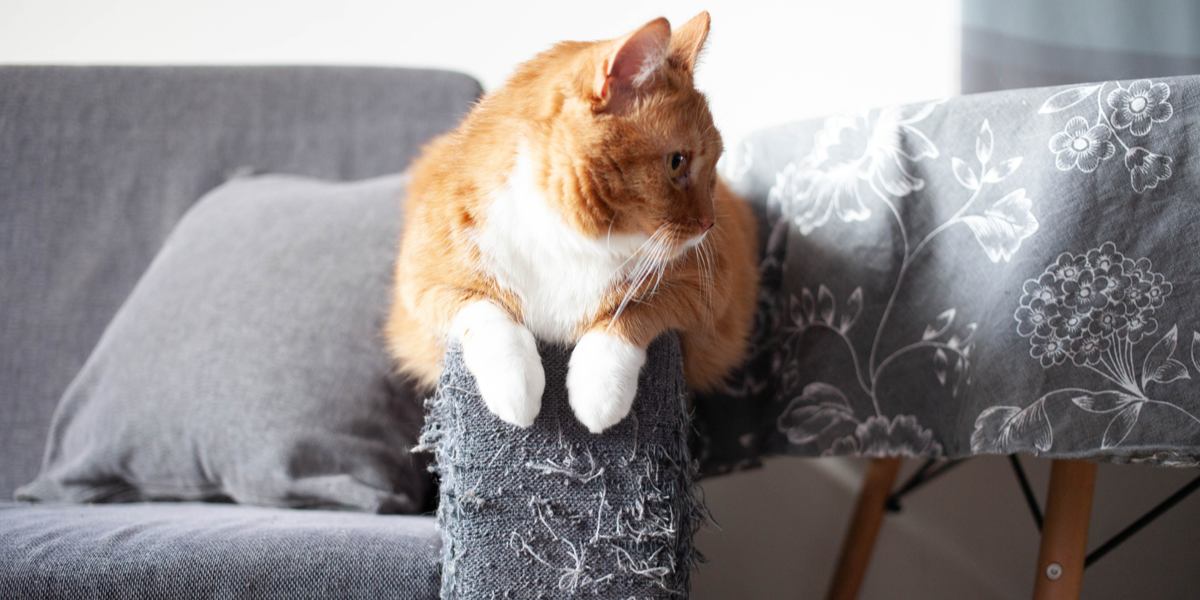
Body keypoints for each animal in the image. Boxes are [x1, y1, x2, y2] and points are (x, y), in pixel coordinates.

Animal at [388, 11, 753, 434]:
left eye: (714, 167)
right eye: (678, 162)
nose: (709, 223)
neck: (567, 237)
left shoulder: (708, 288)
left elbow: (632, 311)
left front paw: (599, 393)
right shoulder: (421, 281)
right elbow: (486, 308)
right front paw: (516, 388)